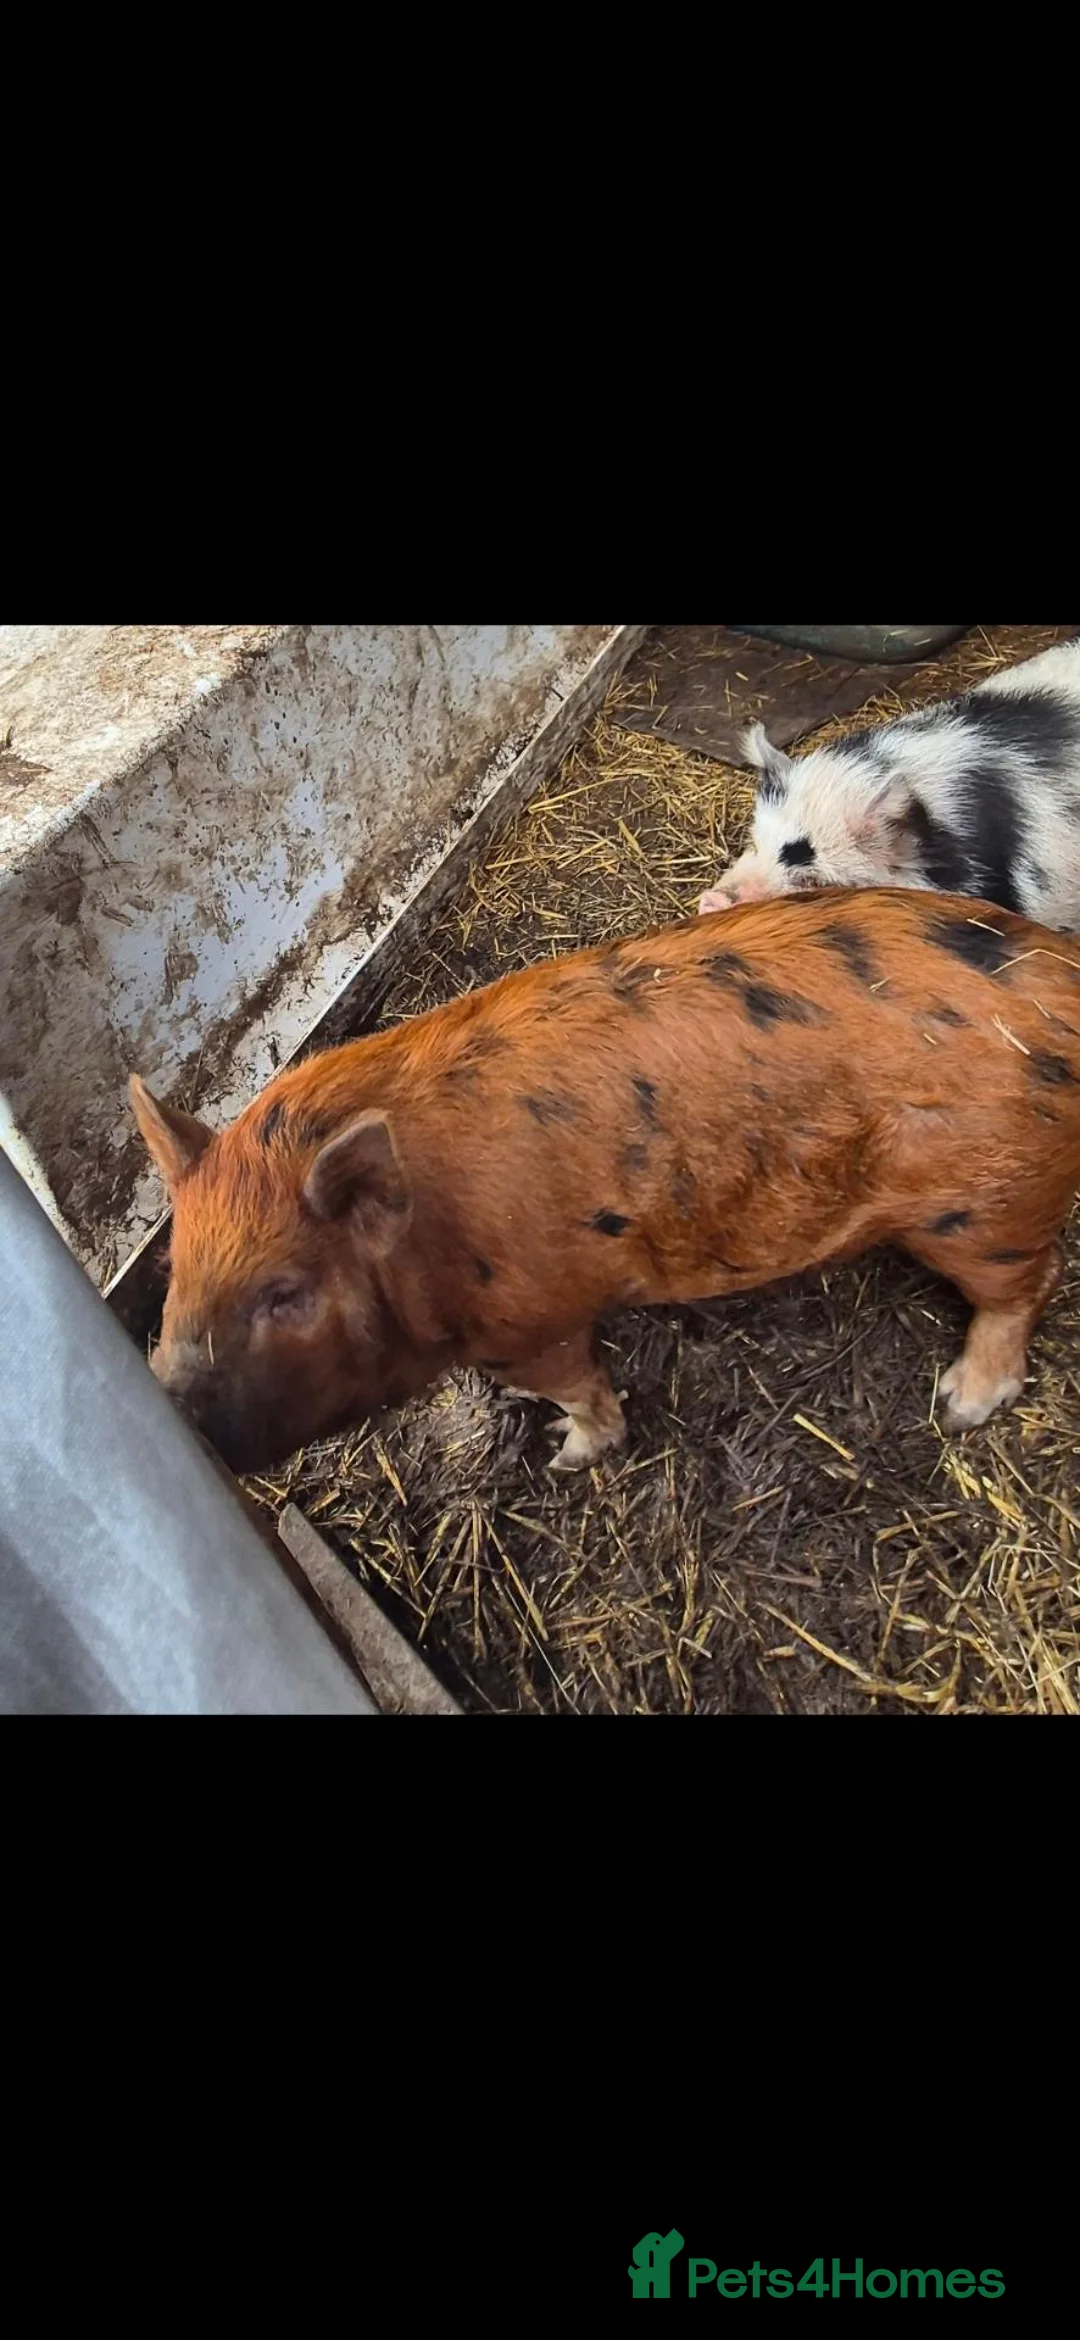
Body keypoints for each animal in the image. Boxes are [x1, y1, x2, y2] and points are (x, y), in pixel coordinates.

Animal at [131, 887, 1080, 1478]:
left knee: (1031, 1284)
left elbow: (581, 1388)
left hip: (983, 1206)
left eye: (284, 1293)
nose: (169, 1408)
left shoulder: (535, 1317)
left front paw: (568, 1451)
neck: (430, 1243)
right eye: (174, 1271)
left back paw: (960, 1404)